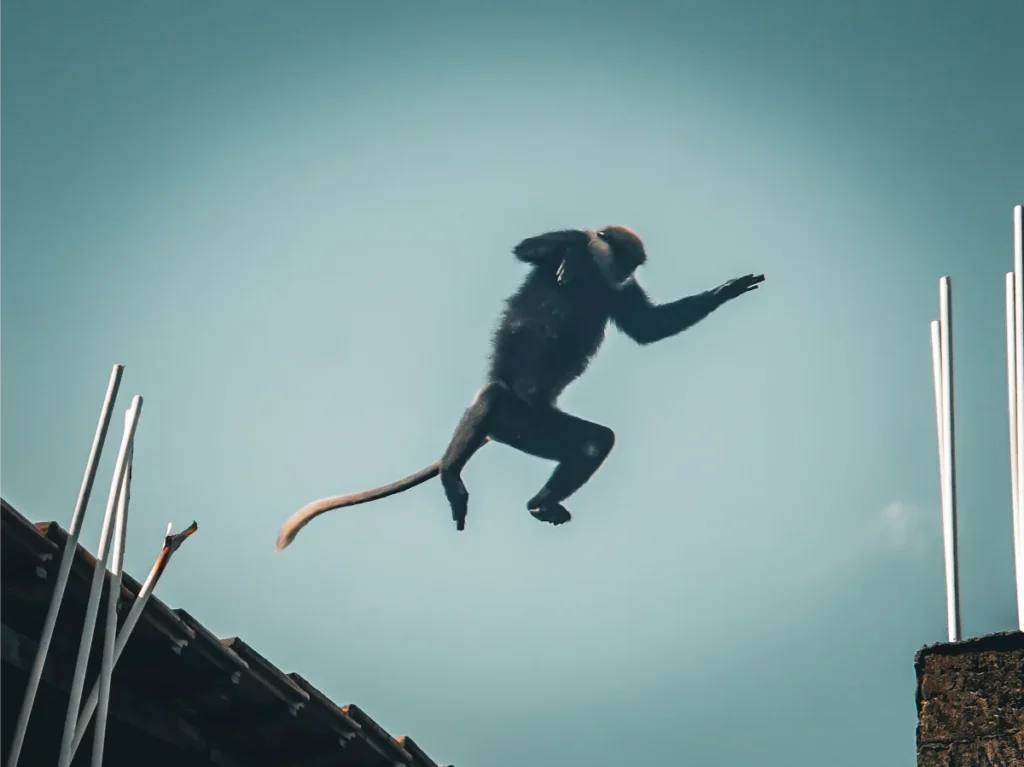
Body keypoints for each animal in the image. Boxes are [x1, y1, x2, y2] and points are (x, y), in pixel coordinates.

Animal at [276, 223, 765, 548]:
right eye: (622, 257)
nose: (625, 271)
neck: (597, 277)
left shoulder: (617, 291)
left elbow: (649, 329)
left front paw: (726, 290)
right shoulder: (576, 256)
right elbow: (532, 247)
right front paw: (572, 254)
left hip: (534, 428)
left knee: (595, 441)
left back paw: (539, 504)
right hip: (517, 419)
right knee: (492, 396)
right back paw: (453, 473)